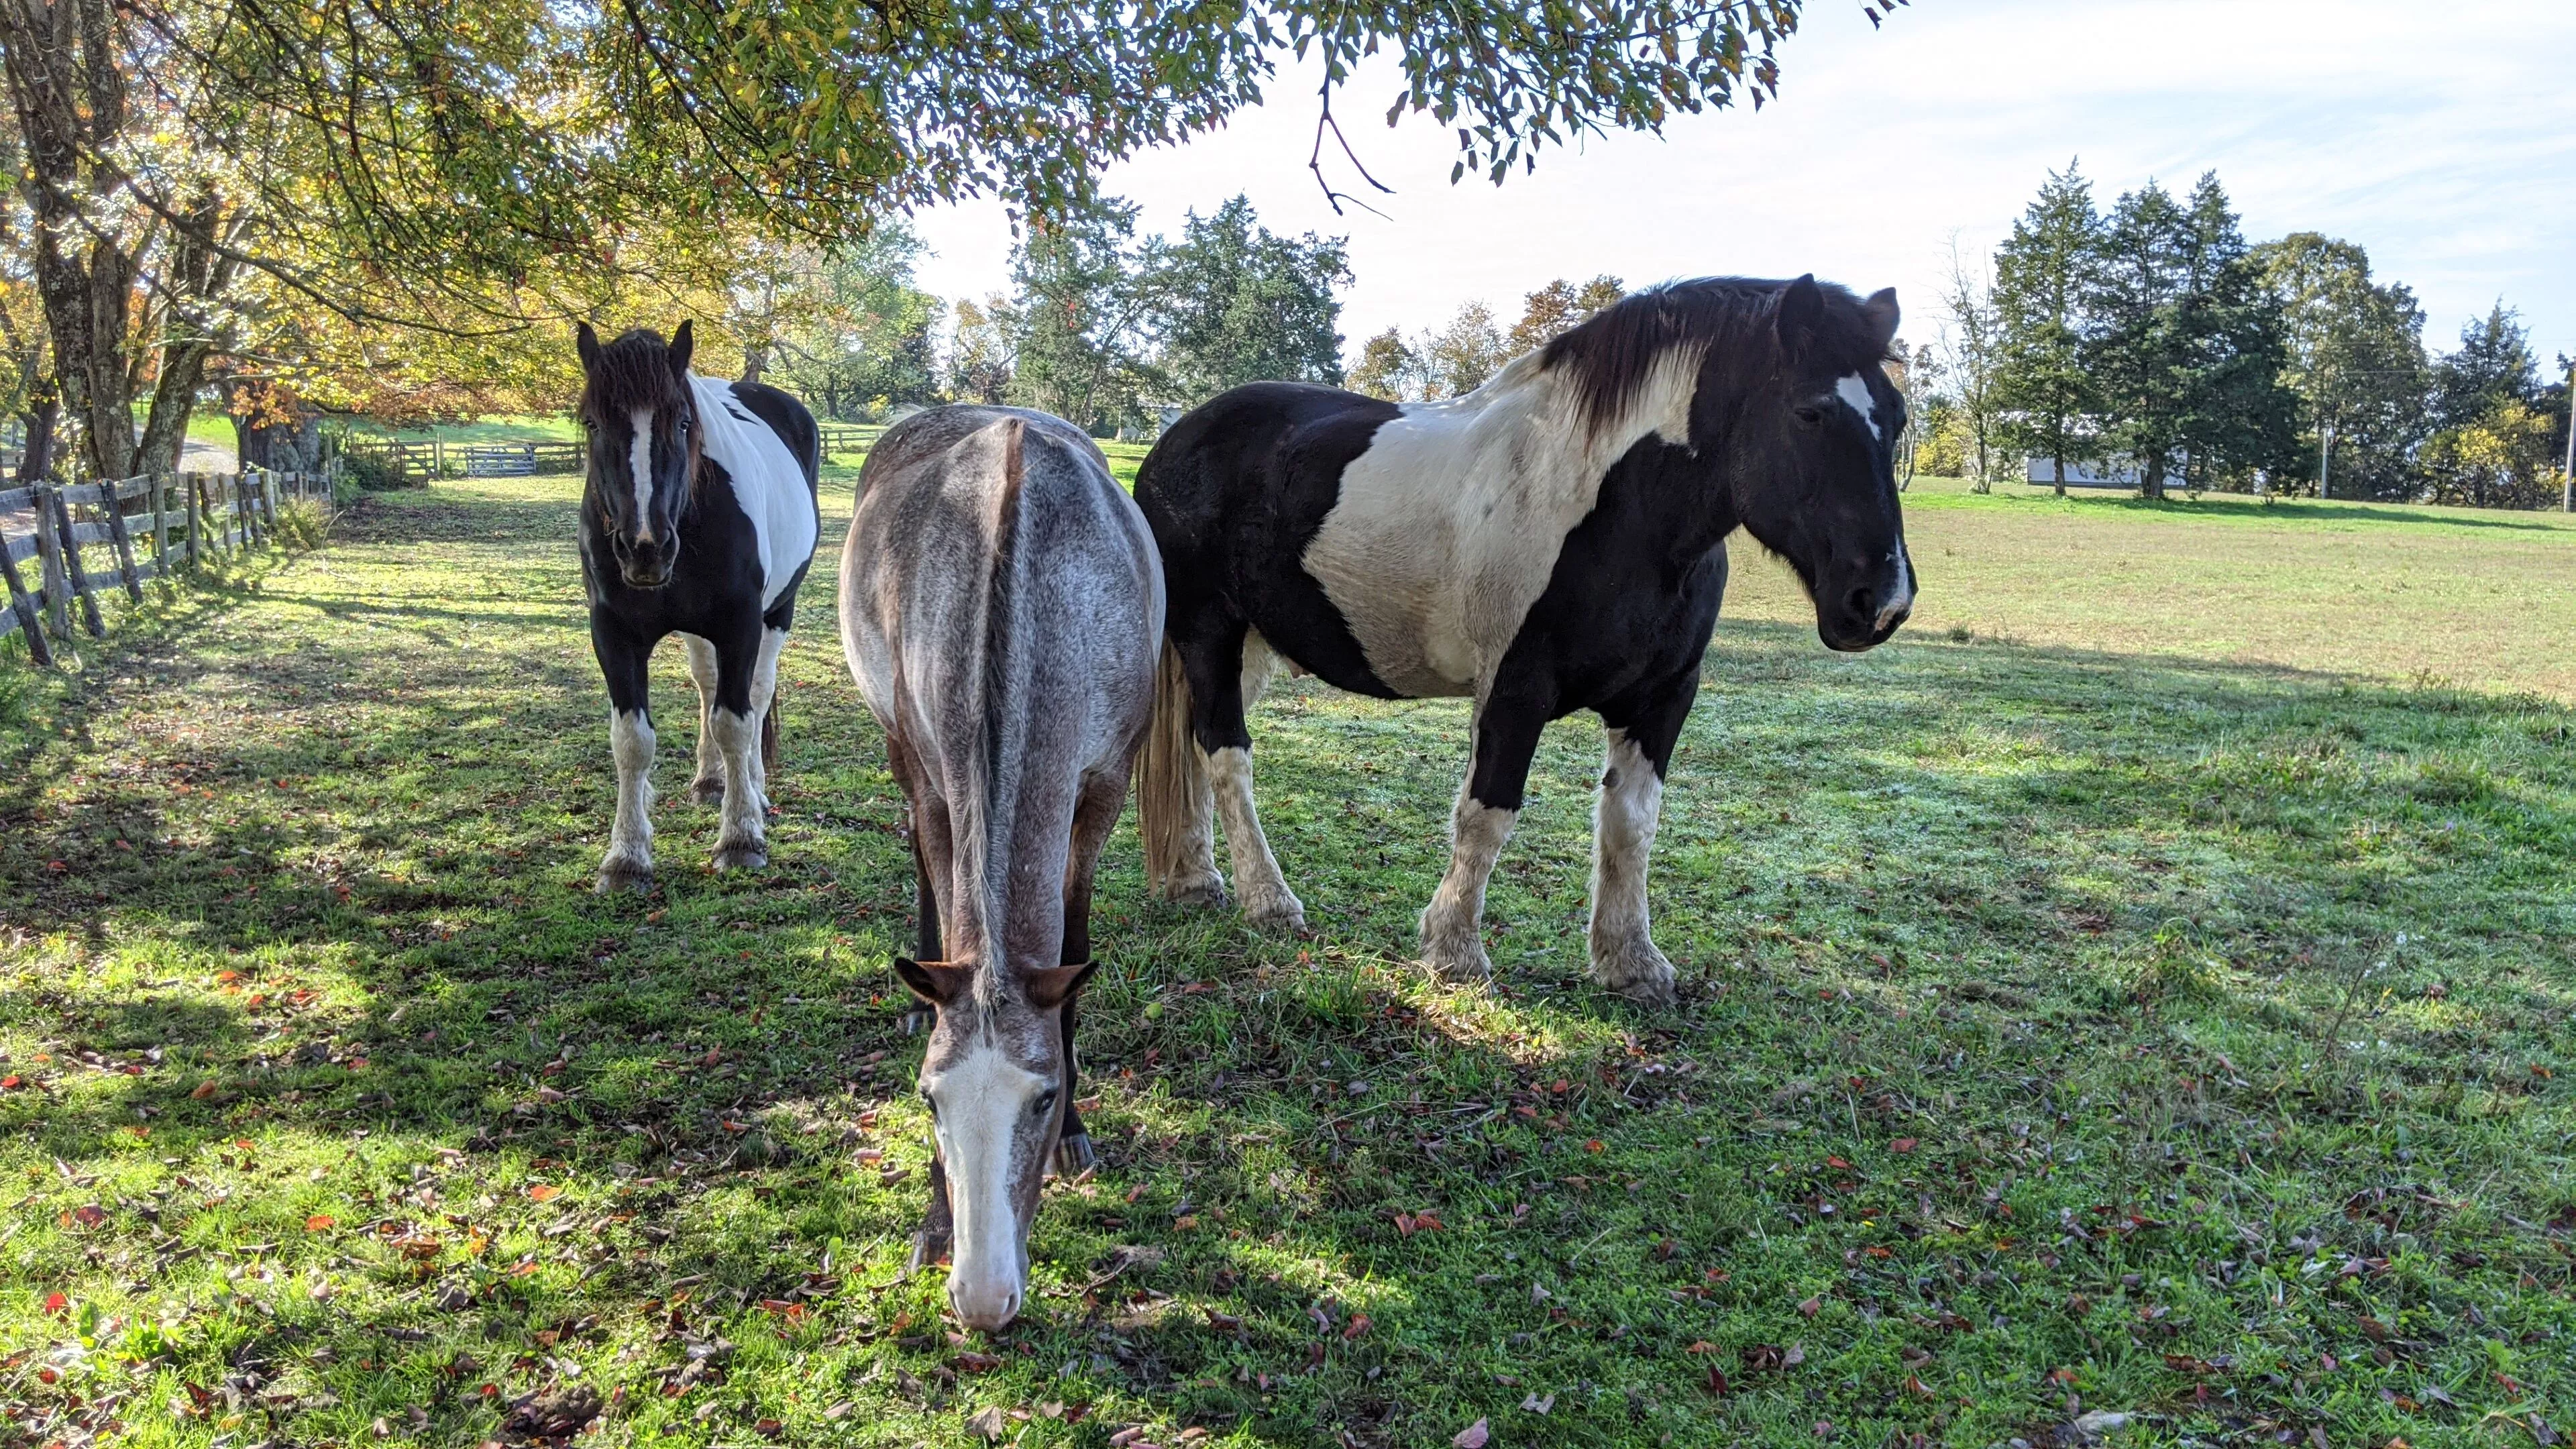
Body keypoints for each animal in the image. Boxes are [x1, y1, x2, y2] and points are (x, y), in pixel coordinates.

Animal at [572, 319, 814, 887]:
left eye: (683, 422)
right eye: (592, 422)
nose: (646, 548)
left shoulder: (739, 625)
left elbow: (735, 722)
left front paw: (741, 837)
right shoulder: (613, 634)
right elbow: (632, 740)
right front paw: (626, 856)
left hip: (777, 614)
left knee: (757, 694)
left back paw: (753, 789)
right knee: (706, 685)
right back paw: (710, 781)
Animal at [835, 399, 1159, 1330]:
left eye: (1043, 1095)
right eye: (927, 1097)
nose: (984, 1299)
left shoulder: (1104, 788)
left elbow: (1071, 950)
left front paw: (1080, 1132)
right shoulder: (939, 780)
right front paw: (932, 1225)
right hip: (901, 750)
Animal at [1143, 270, 1916, 1000]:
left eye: (1899, 417)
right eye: (1810, 412)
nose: (1881, 602)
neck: (1617, 513)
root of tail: (1177, 437)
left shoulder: (1664, 699)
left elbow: (1631, 824)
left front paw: (1631, 962)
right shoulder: (1515, 690)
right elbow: (1488, 814)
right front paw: (1454, 951)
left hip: (1246, 652)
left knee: (1195, 750)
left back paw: (1195, 879)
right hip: (1209, 634)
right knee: (1226, 755)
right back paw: (1267, 900)